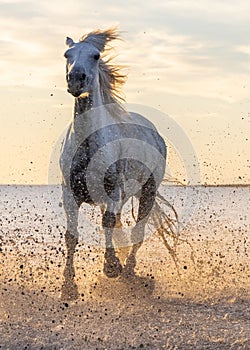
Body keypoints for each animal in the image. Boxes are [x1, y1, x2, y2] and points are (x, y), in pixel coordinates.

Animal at [59, 28, 167, 300]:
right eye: (67, 54)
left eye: (96, 55)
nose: (76, 79)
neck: (88, 143)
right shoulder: (70, 193)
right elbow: (71, 235)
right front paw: (68, 288)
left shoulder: (114, 190)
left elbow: (108, 223)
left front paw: (111, 267)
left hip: (147, 192)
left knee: (138, 231)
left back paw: (128, 273)